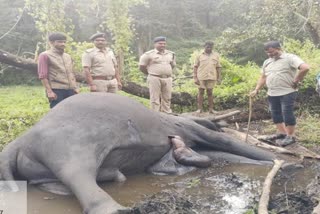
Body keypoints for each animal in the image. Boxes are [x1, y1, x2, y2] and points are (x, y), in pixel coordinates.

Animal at [0, 93, 276, 214]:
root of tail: (16, 143)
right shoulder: (182, 125)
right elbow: (220, 140)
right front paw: (275, 160)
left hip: (44, 167)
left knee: (60, 182)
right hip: (67, 145)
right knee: (77, 173)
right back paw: (118, 210)